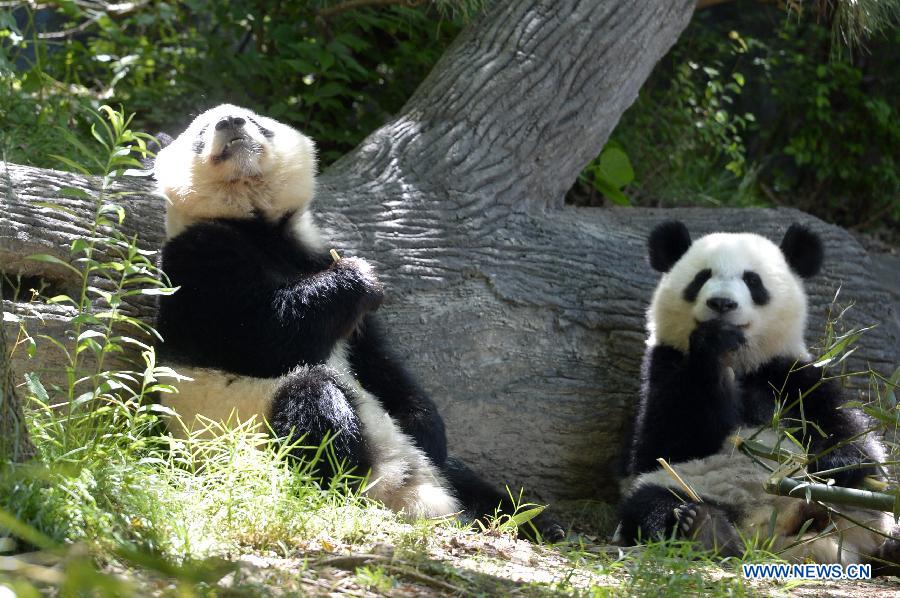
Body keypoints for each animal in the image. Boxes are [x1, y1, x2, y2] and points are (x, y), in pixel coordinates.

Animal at [155, 103, 564, 540]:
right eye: (201, 131)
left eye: (256, 121)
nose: (230, 122)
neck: (260, 228)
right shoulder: (195, 261)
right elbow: (259, 337)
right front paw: (357, 277)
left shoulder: (316, 259)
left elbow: (380, 362)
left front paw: (427, 426)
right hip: (246, 432)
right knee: (312, 404)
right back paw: (343, 485)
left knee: (463, 475)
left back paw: (534, 521)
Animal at [620, 220, 900, 568]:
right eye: (701, 278)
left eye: (752, 281)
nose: (722, 304)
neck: (741, 361)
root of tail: (771, 535)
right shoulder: (664, 365)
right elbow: (667, 440)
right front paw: (712, 342)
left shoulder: (790, 373)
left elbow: (844, 426)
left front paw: (838, 465)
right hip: (685, 484)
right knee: (652, 503)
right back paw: (703, 528)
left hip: (861, 507)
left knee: (868, 503)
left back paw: (886, 544)